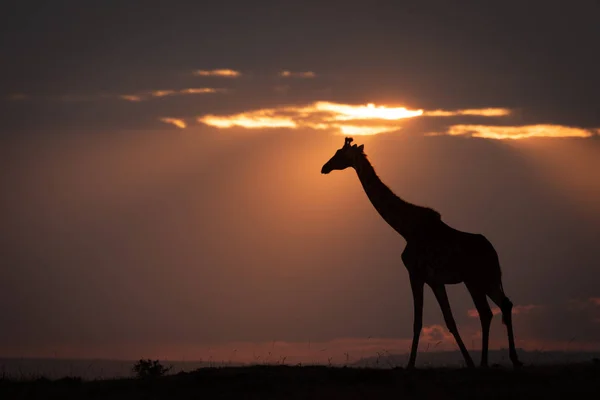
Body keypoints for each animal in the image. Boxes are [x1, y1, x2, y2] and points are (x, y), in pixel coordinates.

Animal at [322, 138, 524, 368]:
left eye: (340, 153)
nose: (324, 167)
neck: (405, 228)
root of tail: (494, 253)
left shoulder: (416, 274)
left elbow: (419, 322)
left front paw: (410, 365)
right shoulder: (434, 280)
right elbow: (449, 320)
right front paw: (469, 362)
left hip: (474, 279)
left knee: (487, 312)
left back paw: (484, 363)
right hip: (485, 279)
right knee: (504, 305)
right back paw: (512, 361)